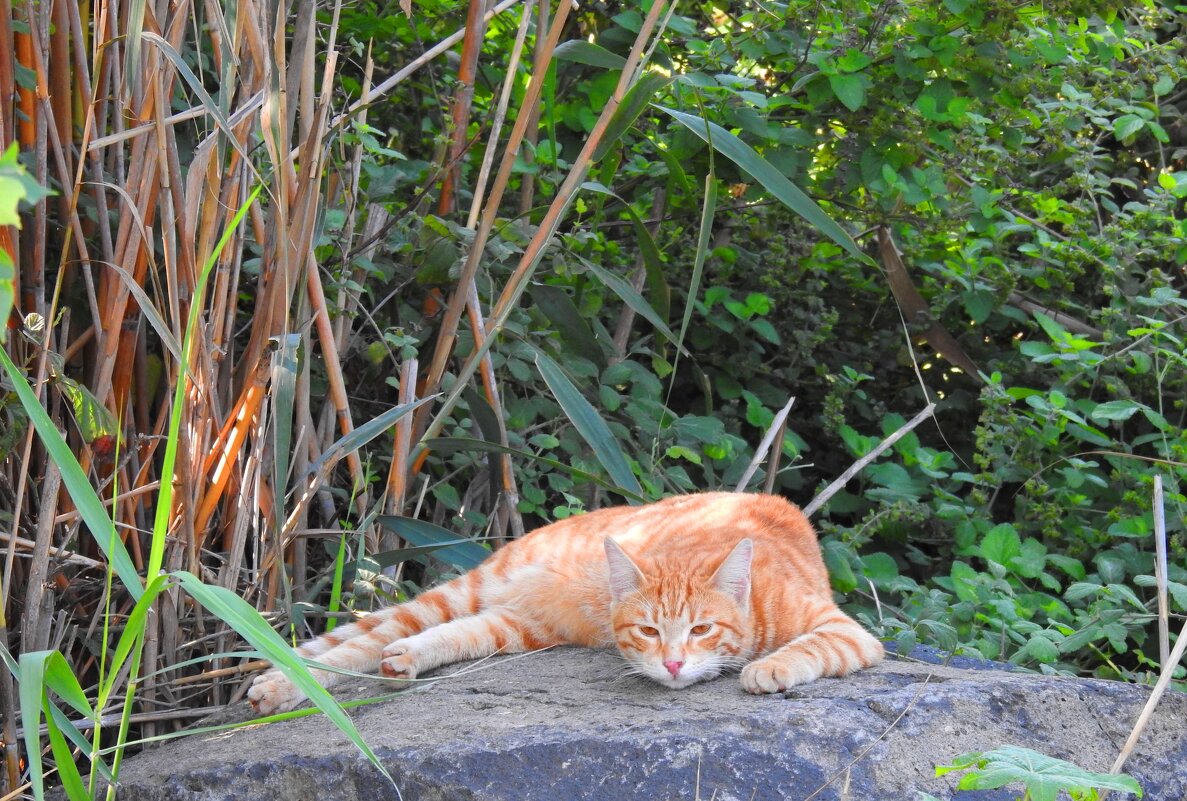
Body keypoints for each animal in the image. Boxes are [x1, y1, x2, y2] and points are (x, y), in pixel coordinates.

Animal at [248, 496, 883, 716]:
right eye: (648, 632)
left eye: (701, 629)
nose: (674, 664)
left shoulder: (846, 630)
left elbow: (809, 646)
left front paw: (768, 668)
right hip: (463, 597)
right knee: (358, 642)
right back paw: (279, 688)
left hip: (512, 628)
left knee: (425, 639)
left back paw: (405, 660)